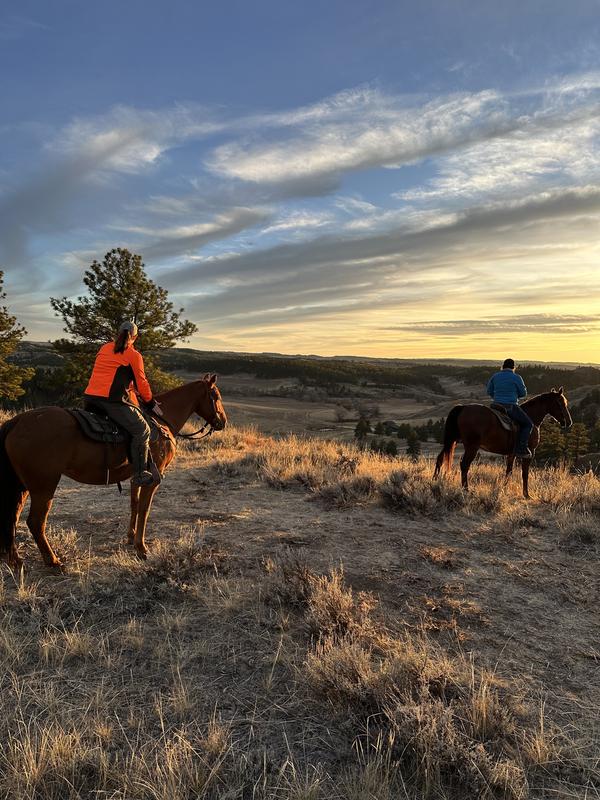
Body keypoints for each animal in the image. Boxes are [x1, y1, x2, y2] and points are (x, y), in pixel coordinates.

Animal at [0, 376, 227, 568]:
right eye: (216, 396)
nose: (222, 422)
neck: (161, 422)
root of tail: (17, 421)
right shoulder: (154, 479)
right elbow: (144, 509)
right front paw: (141, 548)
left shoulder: (138, 477)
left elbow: (134, 504)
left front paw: (130, 537)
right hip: (44, 486)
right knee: (35, 521)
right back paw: (53, 561)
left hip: (23, 487)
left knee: (13, 518)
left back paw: (15, 560)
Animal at [434, 386, 568, 496]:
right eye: (561, 403)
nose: (568, 422)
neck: (532, 417)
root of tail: (463, 408)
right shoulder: (530, 452)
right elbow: (524, 473)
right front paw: (526, 494)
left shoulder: (511, 453)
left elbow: (509, 471)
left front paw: (504, 489)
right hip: (472, 446)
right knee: (464, 464)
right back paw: (466, 489)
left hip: (453, 440)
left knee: (440, 458)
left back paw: (435, 481)